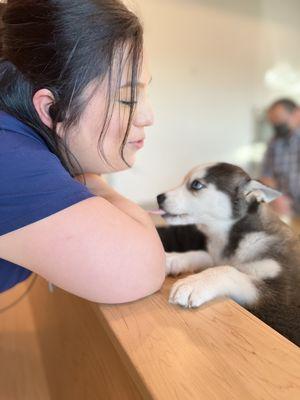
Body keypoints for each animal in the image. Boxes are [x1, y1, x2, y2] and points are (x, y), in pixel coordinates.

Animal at [157, 162, 300, 346]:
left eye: (196, 184)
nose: (159, 197)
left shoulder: (280, 299)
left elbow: (228, 270)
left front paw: (194, 282)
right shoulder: (216, 257)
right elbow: (204, 255)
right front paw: (173, 259)